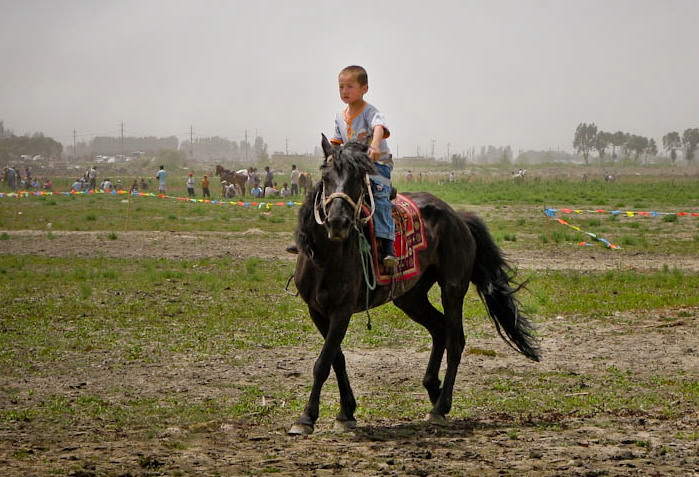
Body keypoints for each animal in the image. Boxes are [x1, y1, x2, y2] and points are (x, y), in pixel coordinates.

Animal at [288, 135, 540, 436]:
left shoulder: (342, 311)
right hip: (411, 297)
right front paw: (346, 411)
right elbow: (336, 359)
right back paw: (433, 388)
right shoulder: (317, 311)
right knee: (440, 329)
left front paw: (306, 417)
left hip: (452, 289)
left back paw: (440, 407)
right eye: (326, 177)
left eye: (359, 178)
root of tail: (458, 217)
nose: (338, 222)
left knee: (455, 341)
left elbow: (323, 363)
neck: (326, 258)